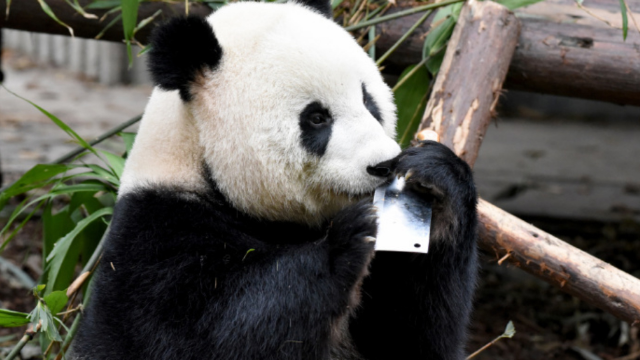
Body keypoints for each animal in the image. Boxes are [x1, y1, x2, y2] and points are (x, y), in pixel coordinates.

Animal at [72, 0, 478, 360]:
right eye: (316, 118)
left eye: (368, 101)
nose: (383, 164)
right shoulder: (156, 247)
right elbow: (218, 335)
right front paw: (347, 239)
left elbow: (414, 339)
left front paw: (436, 178)